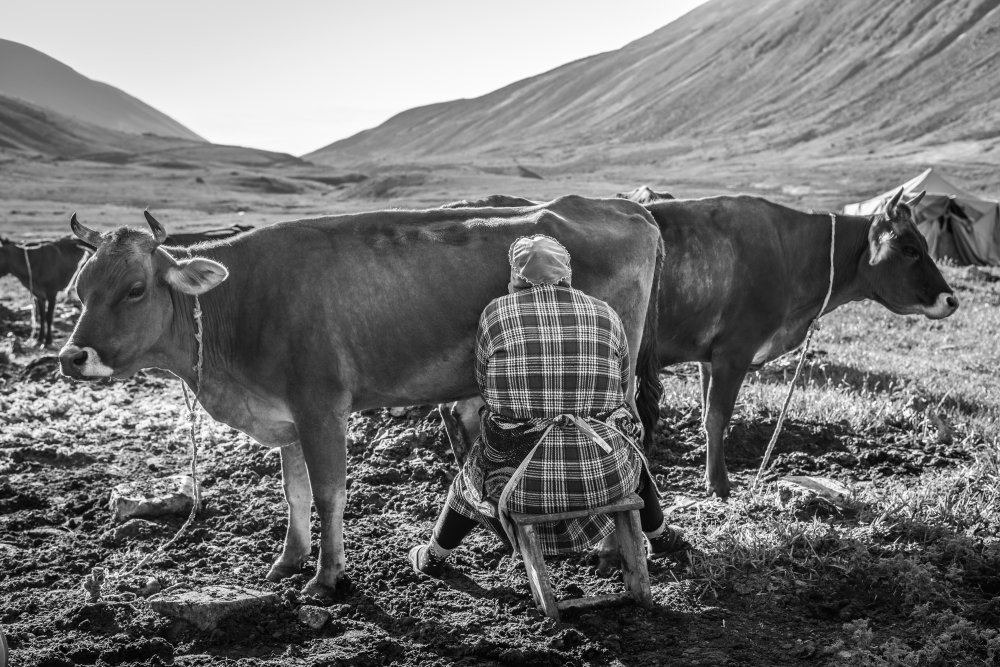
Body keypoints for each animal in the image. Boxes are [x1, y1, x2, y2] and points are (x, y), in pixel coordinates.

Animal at [56, 196, 664, 596]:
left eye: (135, 289)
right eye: (80, 289)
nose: (71, 357)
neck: (241, 304)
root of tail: (619, 206)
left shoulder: (320, 405)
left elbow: (329, 493)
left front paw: (326, 577)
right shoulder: (286, 416)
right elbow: (294, 492)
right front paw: (288, 560)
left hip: (617, 372)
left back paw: (614, 548)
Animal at [442, 188, 956, 500]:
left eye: (925, 243)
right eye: (909, 247)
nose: (950, 299)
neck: (792, 253)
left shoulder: (711, 356)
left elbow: (712, 418)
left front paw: (714, 479)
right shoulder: (735, 351)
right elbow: (717, 417)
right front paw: (721, 486)